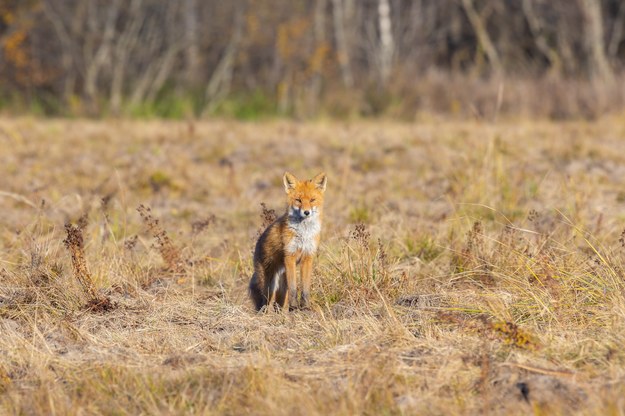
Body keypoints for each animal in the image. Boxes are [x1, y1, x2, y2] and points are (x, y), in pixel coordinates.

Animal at [247, 171, 326, 310]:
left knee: (278, 306)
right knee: (265, 304)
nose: (306, 212)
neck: (303, 233)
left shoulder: (307, 257)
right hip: (269, 287)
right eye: (298, 200)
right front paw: (294, 307)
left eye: (312, 200)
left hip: (281, 289)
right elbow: (294, 288)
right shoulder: (290, 255)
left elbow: (305, 288)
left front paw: (305, 307)